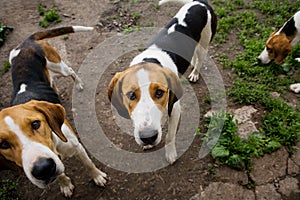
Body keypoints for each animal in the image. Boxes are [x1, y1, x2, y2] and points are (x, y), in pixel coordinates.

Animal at [0, 26, 107, 197]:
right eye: (3, 144)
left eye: (36, 124)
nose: (42, 168)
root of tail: (25, 42)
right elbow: (60, 175)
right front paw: (65, 185)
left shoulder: (77, 147)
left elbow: (89, 164)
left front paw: (97, 177)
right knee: (53, 79)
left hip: (58, 66)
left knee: (70, 70)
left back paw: (79, 84)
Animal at [108, 0, 216, 164]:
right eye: (131, 95)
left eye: (160, 93)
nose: (148, 138)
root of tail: (201, 3)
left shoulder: (175, 109)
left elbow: (170, 136)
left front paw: (170, 154)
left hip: (204, 43)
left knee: (199, 59)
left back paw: (195, 73)